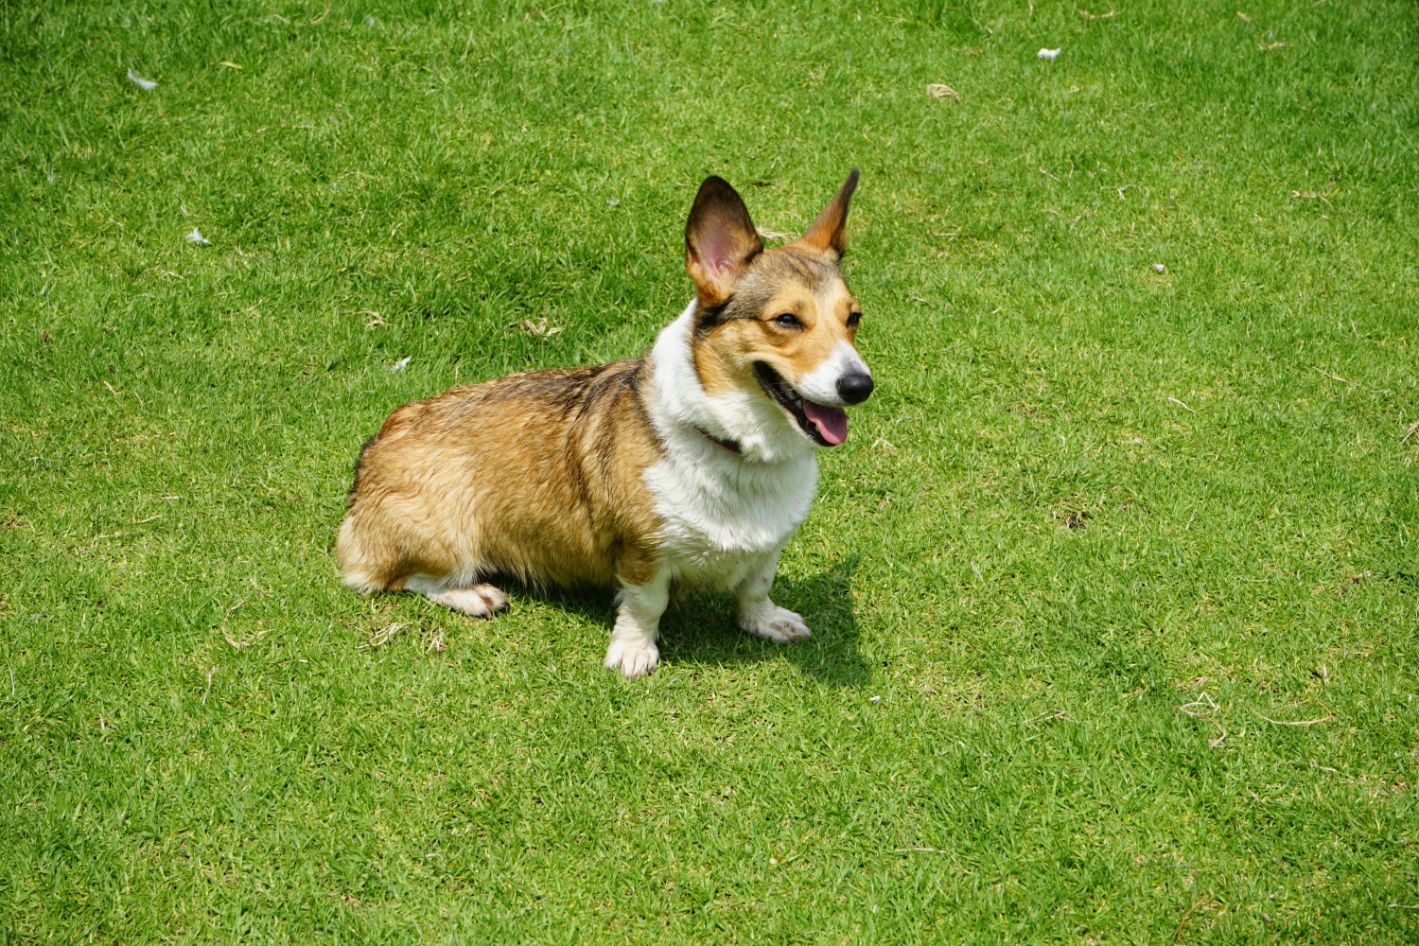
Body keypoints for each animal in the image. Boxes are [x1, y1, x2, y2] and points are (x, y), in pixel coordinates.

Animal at [337, 168, 868, 672]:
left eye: (854, 318)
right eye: (786, 320)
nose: (860, 385)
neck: (736, 447)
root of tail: (376, 446)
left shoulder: (768, 545)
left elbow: (756, 587)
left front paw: (765, 622)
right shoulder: (642, 553)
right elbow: (646, 605)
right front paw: (633, 653)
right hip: (444, 537)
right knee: (388, 578)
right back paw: (472, 594)